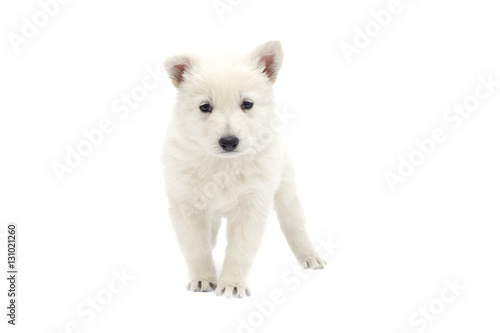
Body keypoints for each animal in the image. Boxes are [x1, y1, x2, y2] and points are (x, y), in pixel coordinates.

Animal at [160, 40, 324, 296]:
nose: (229, 142)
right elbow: (196, 246)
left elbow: (240, 249)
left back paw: (309, 256)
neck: (222, 164)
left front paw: (232, 285)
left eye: (247, 104)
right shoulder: (185, 203)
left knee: (294, 224)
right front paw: (203, 279)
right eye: (205, 107)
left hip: (285, 188)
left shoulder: (252, 204)